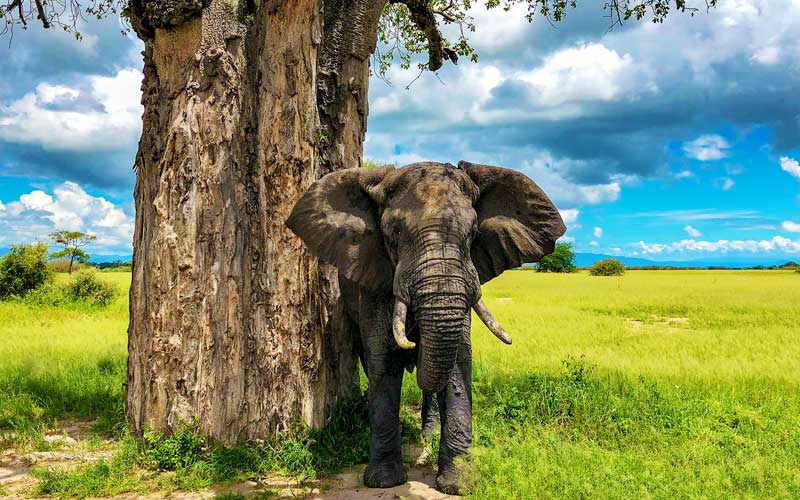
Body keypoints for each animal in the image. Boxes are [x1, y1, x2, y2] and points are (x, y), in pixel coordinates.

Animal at [284, 160, 564, 492]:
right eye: (394, 231)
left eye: (473, 232)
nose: (413, 342)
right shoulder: (373, 279)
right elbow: (383, 362)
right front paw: (384, 481)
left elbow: (457, 362)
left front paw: (459, 483)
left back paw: (428, 435)